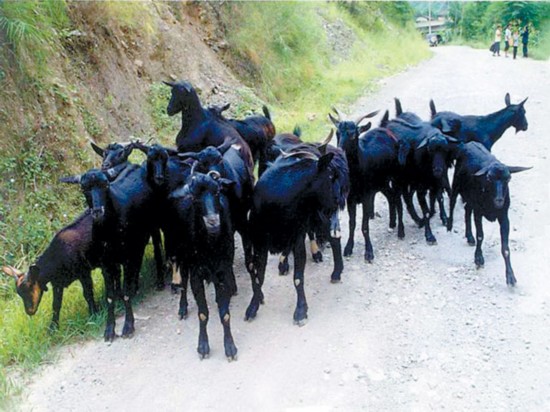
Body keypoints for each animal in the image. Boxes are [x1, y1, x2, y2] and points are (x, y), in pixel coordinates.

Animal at [448, 142, 536, 286]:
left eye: (508, 178)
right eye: (489, 178)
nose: (499, 200)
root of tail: (470, 143)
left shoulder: (504, 217)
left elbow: (505, 248)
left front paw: (510, 276)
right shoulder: (478, 213)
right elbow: (480, 236)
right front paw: (478, 258)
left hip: (471, 198)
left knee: (467, 209)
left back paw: (469, 236)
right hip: (456, 184)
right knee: (452, 202)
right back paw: (449, 225)